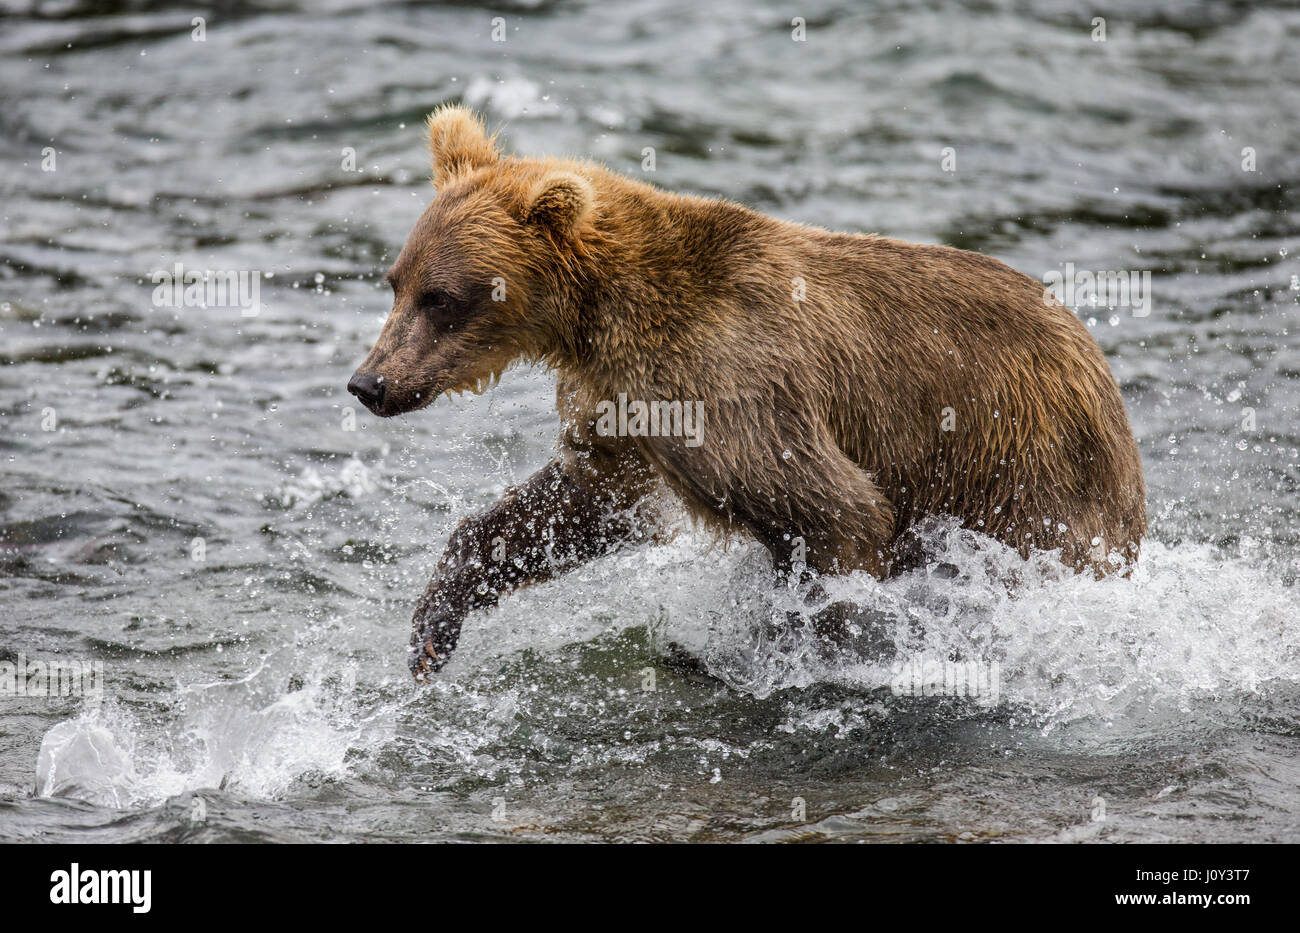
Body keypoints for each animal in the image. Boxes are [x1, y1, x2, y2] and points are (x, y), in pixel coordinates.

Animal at [348, 107, 1149, 680]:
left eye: (441, 297)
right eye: (395, 281)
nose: (369, 383)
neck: (598, 318)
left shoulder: (731, 382)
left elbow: (837, 511)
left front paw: (800, 649)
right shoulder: (624, 404)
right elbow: (587, 500)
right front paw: (432, 628)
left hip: (1022, 465)